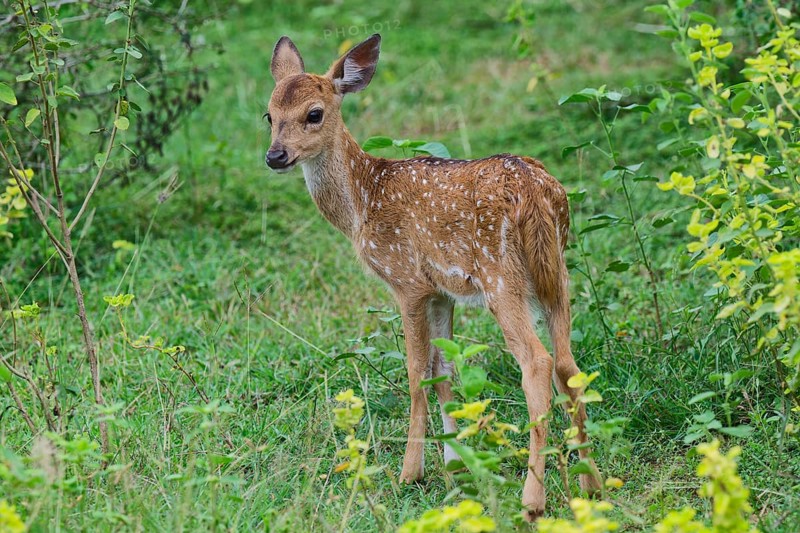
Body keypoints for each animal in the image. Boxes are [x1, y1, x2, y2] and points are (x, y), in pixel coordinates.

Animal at [264, 33, 601, 519]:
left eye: (314, 113)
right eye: (269, 115)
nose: (275, 155)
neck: (363, 202)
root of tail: (536, 191)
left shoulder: (407, 281)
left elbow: (416, 370)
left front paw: (411, 471)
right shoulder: (443, 291)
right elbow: (445, 367)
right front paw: (456, 464)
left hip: (503, 278)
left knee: (536, 362)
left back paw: (532, 501)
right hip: (556, 274)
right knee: (567, 364)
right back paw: (592, 485)